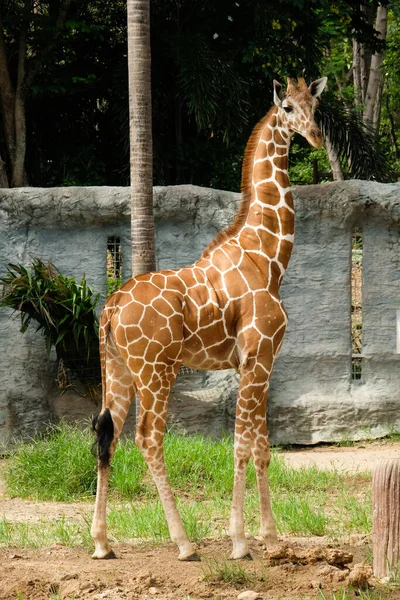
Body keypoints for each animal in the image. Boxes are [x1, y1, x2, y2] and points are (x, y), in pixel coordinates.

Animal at [91, 76, 328, 564]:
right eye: (288, 108)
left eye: (317, 107)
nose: (316, 136)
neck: (268, 258)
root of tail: (111, 307)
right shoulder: (256, 356)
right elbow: (241, 445)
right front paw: (239, 542)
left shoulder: (261, 362)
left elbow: (262, 447)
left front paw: (271, 537)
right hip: (156, 369)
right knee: (148, 437)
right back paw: (184, 544)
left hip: (117, 368)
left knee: (108, 435)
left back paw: (102, 543)